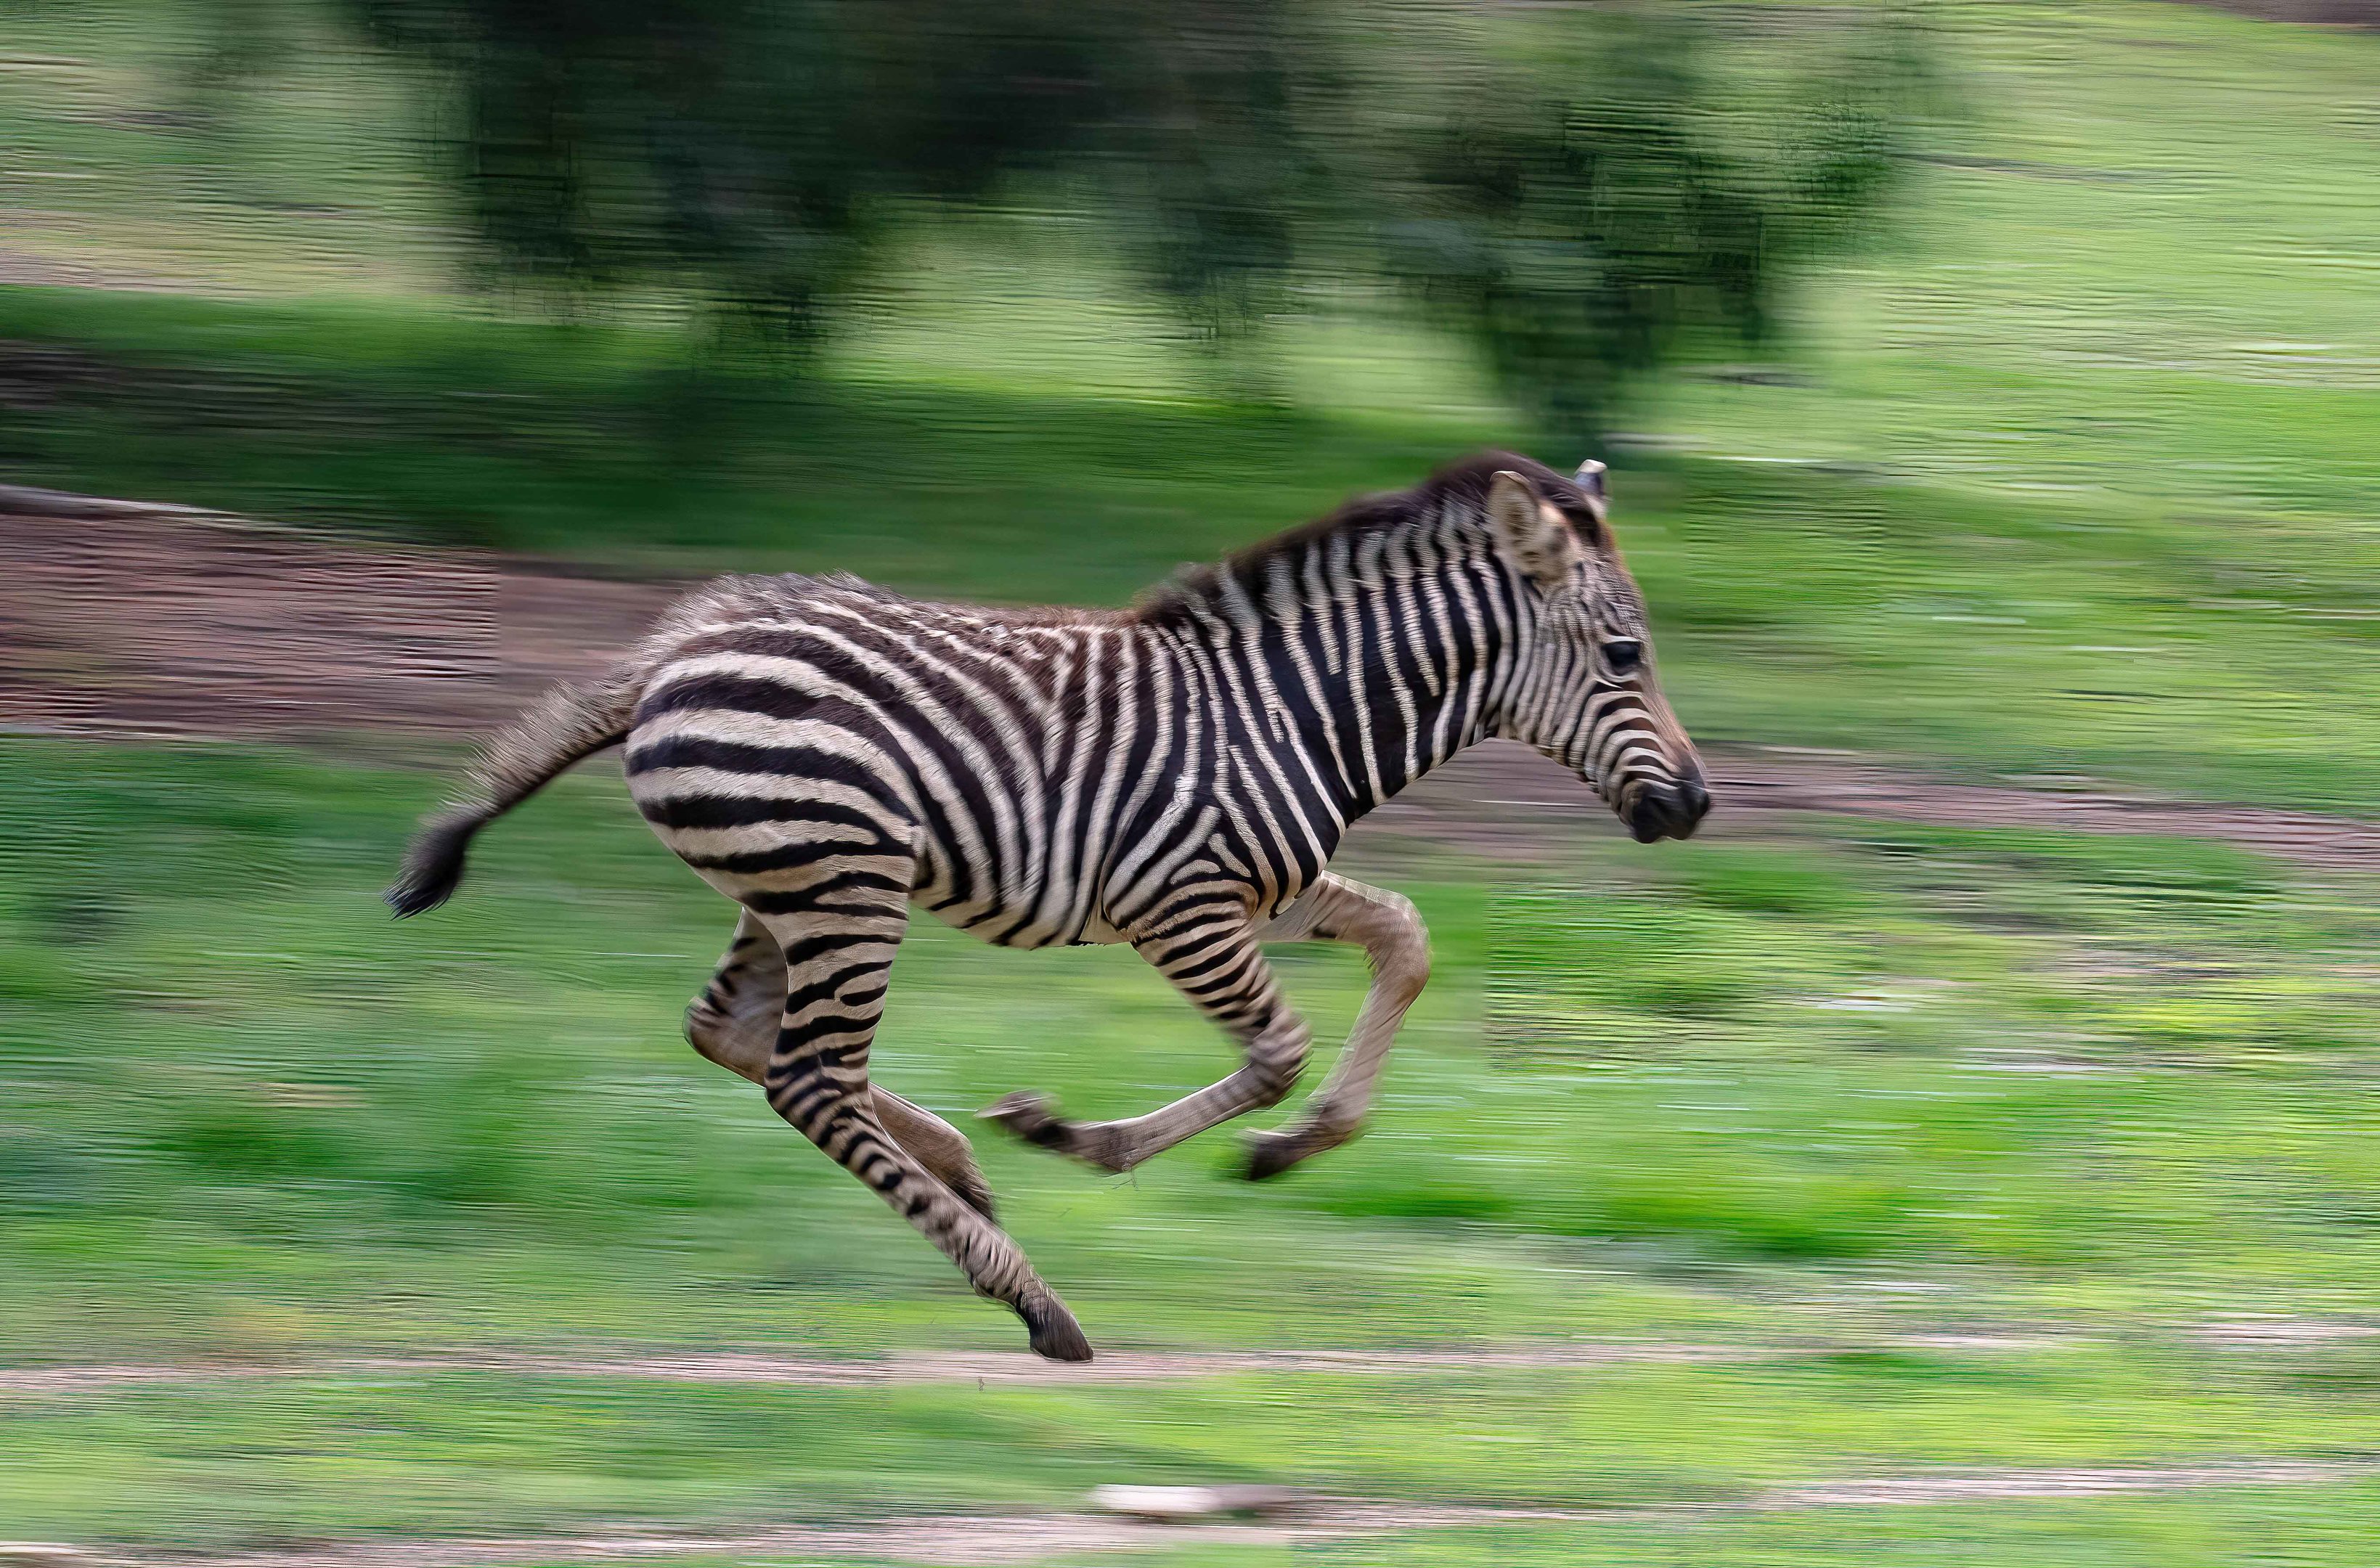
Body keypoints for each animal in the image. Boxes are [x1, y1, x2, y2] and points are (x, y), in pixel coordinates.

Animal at [388, 451, 1709, 1361]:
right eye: (1625, 656)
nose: (1695, 806)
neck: (1298, 710)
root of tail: (674, 653)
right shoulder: (1179, 903)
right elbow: (1276, 1050)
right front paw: (1089, 1138)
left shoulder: (1265, 888)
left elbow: (1404, 940)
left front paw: (1288, 1148)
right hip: (848, 885)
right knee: (809, 1078)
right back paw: (1030, 1298)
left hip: (787, 888)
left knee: (730, 1034)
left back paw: (961, 1164)